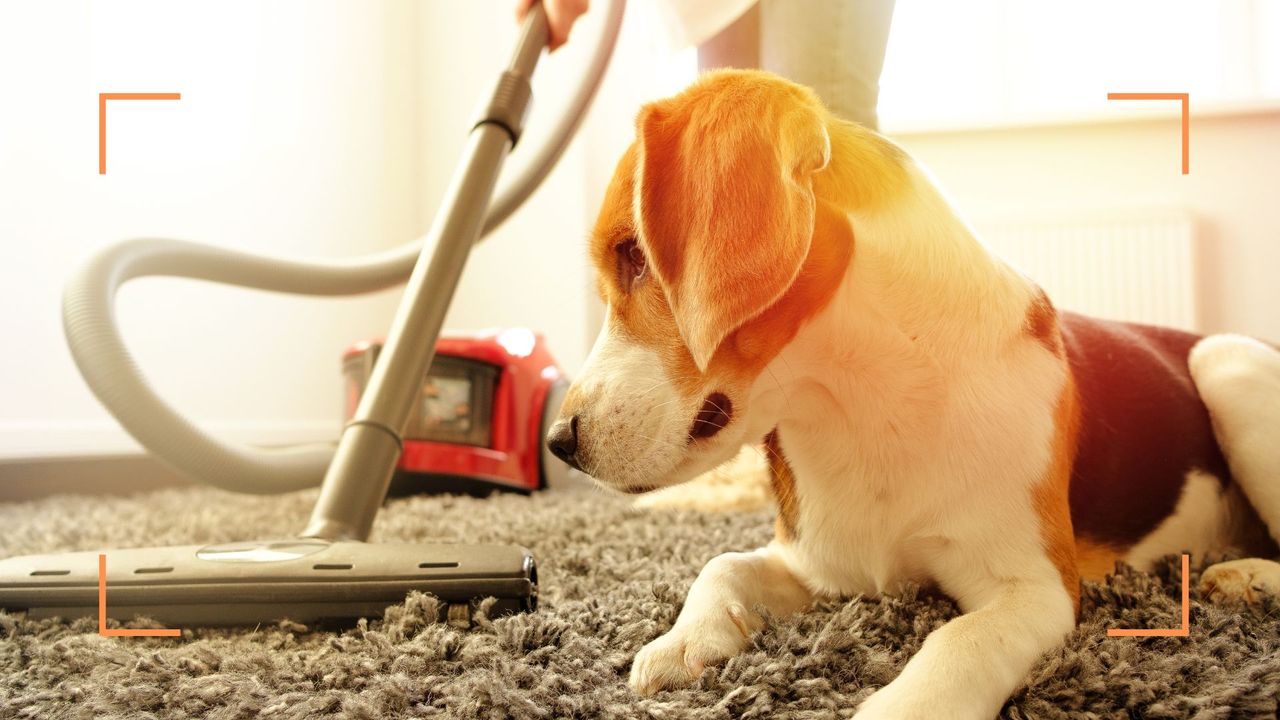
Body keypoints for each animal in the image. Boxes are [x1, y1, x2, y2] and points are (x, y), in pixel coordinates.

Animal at [542, 68, 1280, 717]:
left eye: (634, 255)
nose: (558, 441)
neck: (865, 402)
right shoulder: (818, 562)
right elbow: (721, 563)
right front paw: (683, 641)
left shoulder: (1038, 588)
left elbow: (961, 640)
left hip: (1228, 362)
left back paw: (1247, 577)